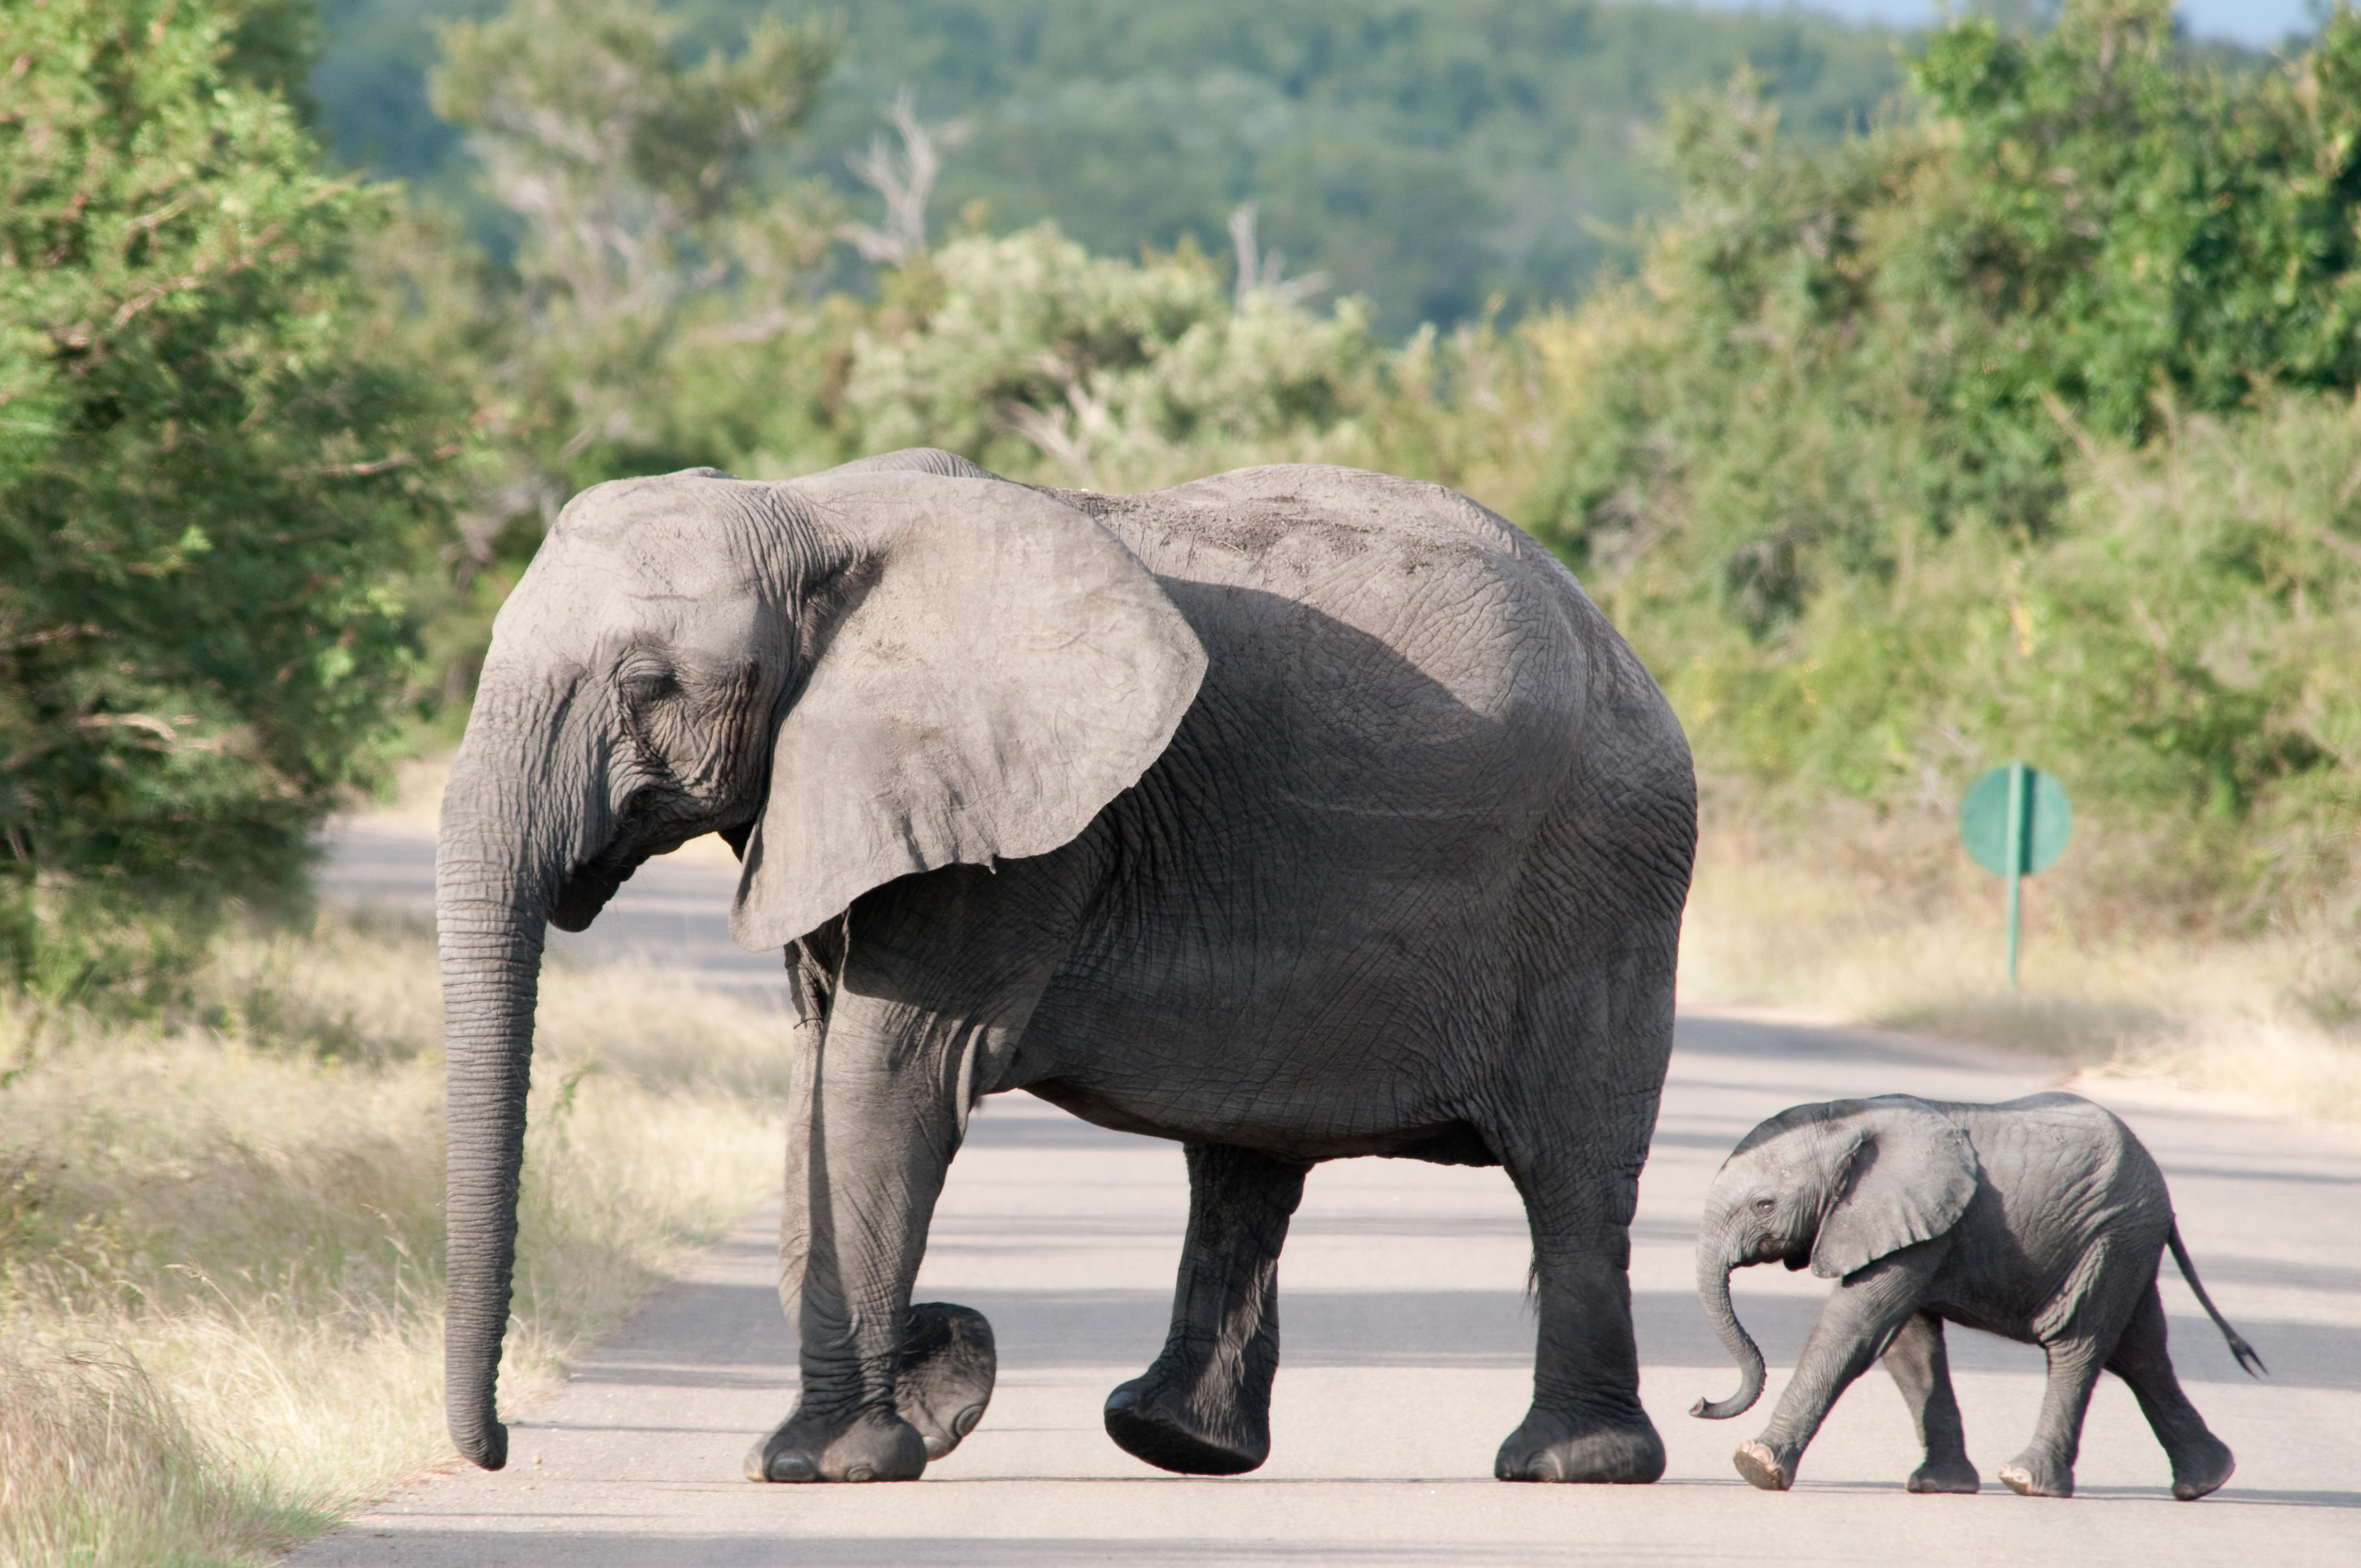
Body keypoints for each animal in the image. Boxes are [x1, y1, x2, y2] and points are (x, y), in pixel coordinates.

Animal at [439, 451, 1699, 1483]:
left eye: (646, 684)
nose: (495, 1451)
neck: (810, 510)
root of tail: (1625, 652)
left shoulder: (1018, 833)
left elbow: (882, 1074)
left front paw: (821, 1462)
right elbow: (817, 1076)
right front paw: (897, 1413)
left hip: (1599, 880)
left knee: (1569, 1172)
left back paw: (1568, 1464)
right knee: (1244, 1167)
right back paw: (1172, 1440)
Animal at [1690, 1091, 2257, 1492]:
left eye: (1763, 1205)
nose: (1698, 1403)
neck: (1851, 1117)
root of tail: (2163, 1192)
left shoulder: (1914, 1216)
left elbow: (1858, 1325)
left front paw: (1755, 1464)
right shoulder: (1913, 1225)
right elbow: (1909, 1347)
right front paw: (1939, 1486)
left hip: (2111, 1235)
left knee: (2078, 1341)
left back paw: (2027, 1480)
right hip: (2128, 1243)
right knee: (2139, 1351)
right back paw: (2207, 1479)